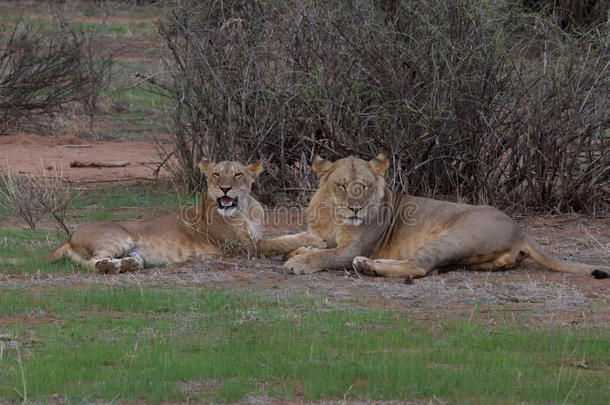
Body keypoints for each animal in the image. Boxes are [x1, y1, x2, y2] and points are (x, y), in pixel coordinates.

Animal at [47, 158, 324, 272]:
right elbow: (282, 240)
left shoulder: (251, 242)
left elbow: (284, 241)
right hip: (118, 238)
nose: (224, 188)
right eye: (215, 174)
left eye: (237, 174)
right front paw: (314, 239)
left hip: (130, 250)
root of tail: (70, 237)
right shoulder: (244, 248)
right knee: (93, 262)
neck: (245, 208)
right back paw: (112, 267)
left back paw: (128, 265)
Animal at [284, 153, 608, 280]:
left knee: (419, 267)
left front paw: (300, 261)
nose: (356, 209)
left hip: (452, 237)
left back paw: (368, 266)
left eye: (363, 187)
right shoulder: (320, 234)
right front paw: (299, 250)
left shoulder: (354, 247)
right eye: (341, 185)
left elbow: (325, 255)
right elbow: (305, 242)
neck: (333, 217)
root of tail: (521, 231)